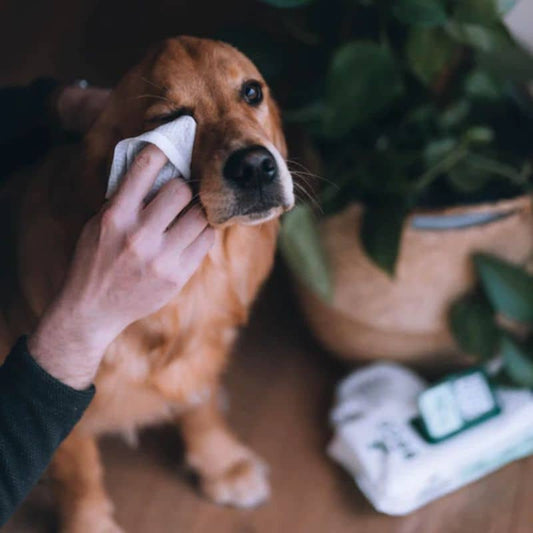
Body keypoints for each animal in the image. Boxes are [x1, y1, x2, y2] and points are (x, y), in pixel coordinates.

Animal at [2, 35, 294, 528]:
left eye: (252, 92)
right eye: (170, 119)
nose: (255, 166)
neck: (198, 281)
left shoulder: (200, 350)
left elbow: (201, 404)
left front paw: (222, 464)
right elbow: (80, 473)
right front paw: (91, 524)